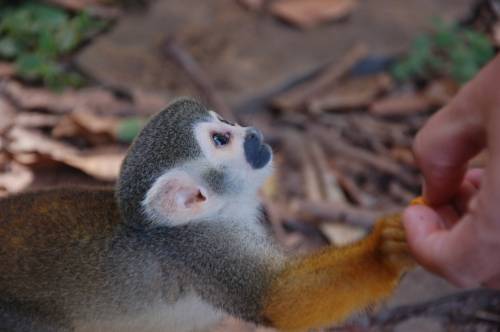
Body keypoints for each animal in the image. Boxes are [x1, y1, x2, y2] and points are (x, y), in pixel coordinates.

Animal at [0, 97, 414, 330]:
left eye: (225, 124)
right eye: (221, 139)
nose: (252, 132)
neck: (217, 214)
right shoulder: (202, 250)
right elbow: (277, 299)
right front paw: (383, 251)